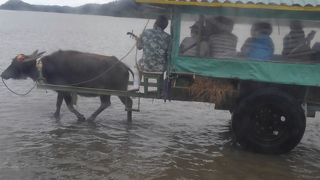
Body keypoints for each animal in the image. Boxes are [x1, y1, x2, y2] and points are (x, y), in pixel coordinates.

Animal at [0, 50, 133, 121]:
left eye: (15, 64)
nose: (3, 74)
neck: (46, 67)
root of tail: (124, 66)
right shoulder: (60, 91)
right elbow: (58, 104)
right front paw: (55, 115)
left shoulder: (65, 90)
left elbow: (69, 106)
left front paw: (81, 117)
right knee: (125, 103)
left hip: (113, 91)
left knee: (110, 103)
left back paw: (91, 118)